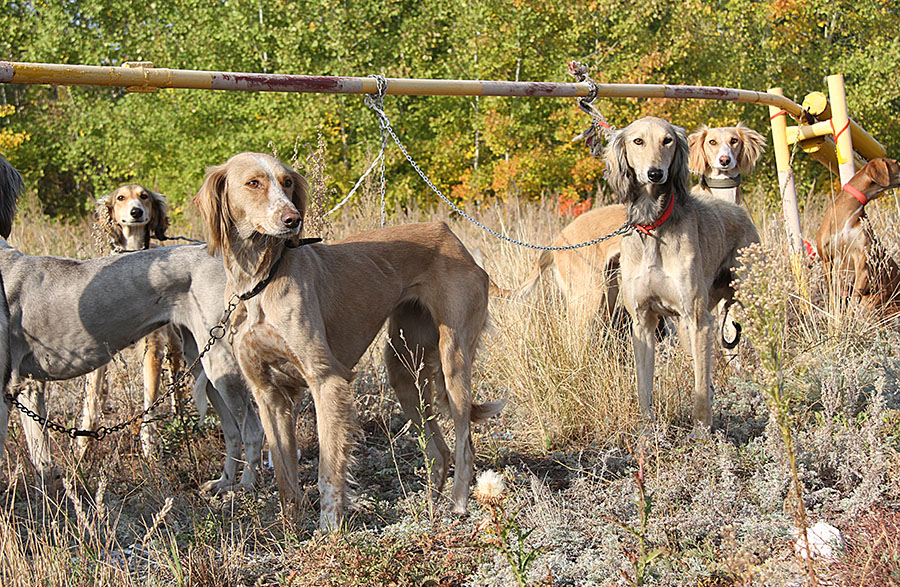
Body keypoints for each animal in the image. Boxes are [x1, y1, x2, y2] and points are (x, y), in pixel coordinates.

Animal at [81, 186, 185, 458]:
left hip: (173, 348)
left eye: (144, 196)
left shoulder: (152, 348)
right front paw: (82, 450)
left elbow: (150, 405)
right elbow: (91, 403)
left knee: (176, 386)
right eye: (121, 198)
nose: (136, 212)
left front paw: (150, 450)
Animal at [194, 154, 502, 532]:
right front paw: (290, 530)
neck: (260, 281)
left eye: (287, 183)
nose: (292, 220)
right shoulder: (267, 393)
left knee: (464, 445)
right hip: (402, 367)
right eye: (254, 183)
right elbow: (284, 475)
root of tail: (452, 236)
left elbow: (328, 470)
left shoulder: (327, 381)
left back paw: (457, 506)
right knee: (438, 451)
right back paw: (430, 510)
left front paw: (329, 530)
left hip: (453, 358)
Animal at [604, 118, 760, 432]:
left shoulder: (699, 320)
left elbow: (699, 391)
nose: (655, 173)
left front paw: (701, 431)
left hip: (741, 309)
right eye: (638, 141)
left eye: (668, 140)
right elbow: (644, 387)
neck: (653, 226)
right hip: (690, 328)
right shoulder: (643, 322)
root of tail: (736, 209)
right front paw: (647, 430)